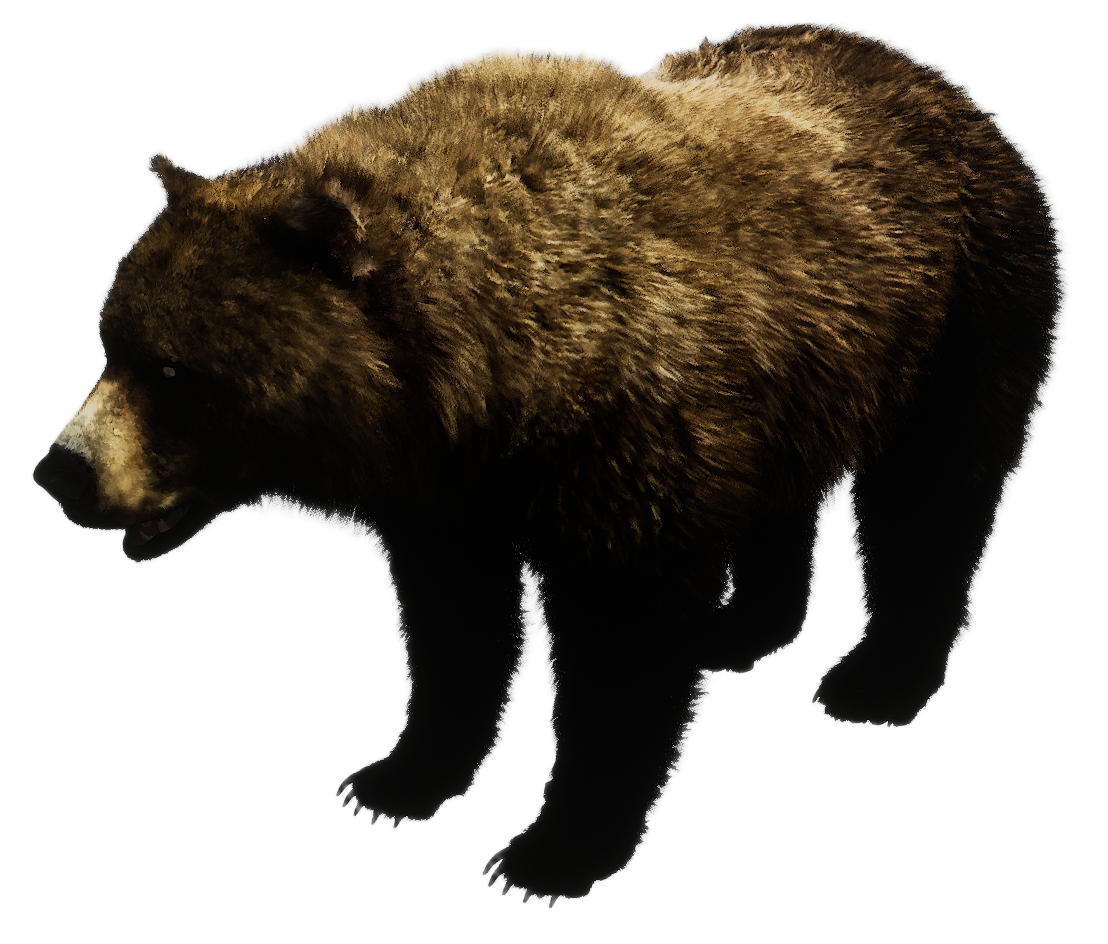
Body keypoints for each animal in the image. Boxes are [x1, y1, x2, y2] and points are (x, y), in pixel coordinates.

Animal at [30, 19, 1072, 908]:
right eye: (108, 341)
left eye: (174, 370)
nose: (60, 472)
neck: (484, 380)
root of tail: (934, 79)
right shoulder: (448, 489)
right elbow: (454, 628)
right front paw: (397, 777)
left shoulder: (625, 439)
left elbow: (617, 646)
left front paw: (550, 851)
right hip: (799, 360)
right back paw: (741, 627)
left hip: (961, 303)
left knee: (933, 493)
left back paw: (878, 680)